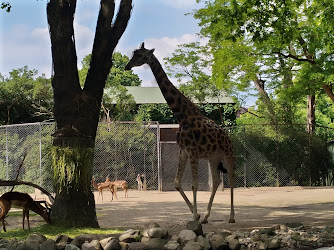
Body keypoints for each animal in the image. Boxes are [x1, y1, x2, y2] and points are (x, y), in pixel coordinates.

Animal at [125, 42, 235, 223]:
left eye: (140, 55)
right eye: (134, 53)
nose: (127, 66)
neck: (183, 117)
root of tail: (228, 137)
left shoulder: (193, 153)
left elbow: (194, 184)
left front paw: (195, 216)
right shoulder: (183, 151)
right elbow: (177, 183)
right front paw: (196, 214)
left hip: (228, 154)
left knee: (231, 177)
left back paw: (232, 216)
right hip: (213, 157)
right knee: (217, 180)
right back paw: (206, 216)